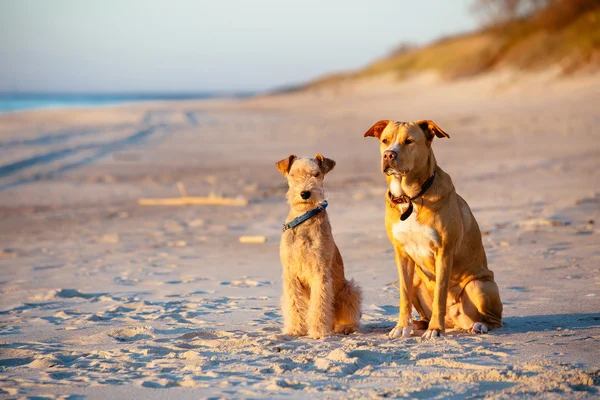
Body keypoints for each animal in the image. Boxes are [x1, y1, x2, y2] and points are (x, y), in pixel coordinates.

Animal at [276, 155, 360, 340]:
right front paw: (294, 330)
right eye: (293, 174)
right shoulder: (290, 274)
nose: (305, 193)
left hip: (350, 289)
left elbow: (320, 304)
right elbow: (294, 304)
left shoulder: (319, 271)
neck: (304, 218)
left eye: (316, 174)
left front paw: (318, 332)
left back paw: (345, 327)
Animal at [366, 119, 502, 338]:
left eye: (409, 141)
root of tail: (456, 322)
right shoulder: (401, 253)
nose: (388, 154)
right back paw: (417, 324)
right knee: (422, 313)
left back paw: (477, 326)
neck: (410, 197)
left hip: (480, 285)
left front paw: (435, 329)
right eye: (385, 140)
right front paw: (401, 326)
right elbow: (404, 296)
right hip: (416, 280)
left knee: (495, 320)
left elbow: (440, 294)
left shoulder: (443, 252)